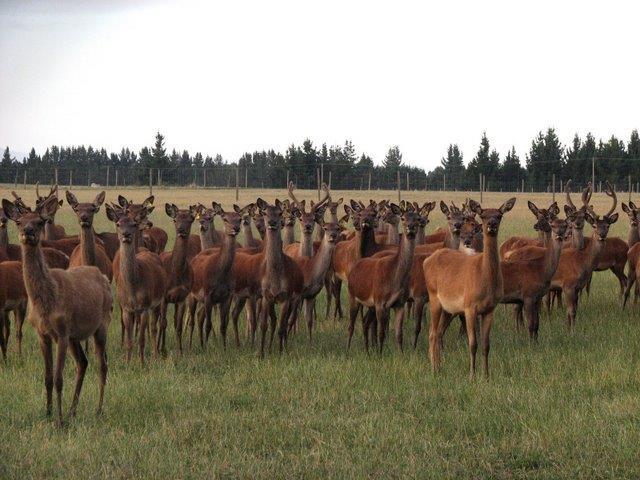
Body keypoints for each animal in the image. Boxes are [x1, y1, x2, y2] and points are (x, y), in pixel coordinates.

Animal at [1, 197, 112, 426]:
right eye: (19, 221)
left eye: (40, 221)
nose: (28, 231)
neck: (46, 302)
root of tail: (103, 277)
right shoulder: (43, 334)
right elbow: (48, 378)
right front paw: (49, 413)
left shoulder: (61, 332)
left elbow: (59, 379)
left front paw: (59, 421)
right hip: (75, 336)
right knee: (83, 363)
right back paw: (73, 411)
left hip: (102, 324)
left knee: (102, 364)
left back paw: (98, 410)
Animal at [105, 200, 166, 364]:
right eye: (118, 223)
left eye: (133, 224)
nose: (126, 234)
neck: (133, 287)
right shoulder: (126, 308)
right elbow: (129, 339)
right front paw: (127, 362)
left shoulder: (144, 306)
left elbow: (141, 338)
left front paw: (142, 362)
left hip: (157, 301)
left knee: (153, 328)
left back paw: (155, 355)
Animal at [348, 204, 422, 354]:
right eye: (403, 217)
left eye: (417, 218)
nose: (410, 227)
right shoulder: (380, 301)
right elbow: (381, 332)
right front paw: (379, 354)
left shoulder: (399, 303)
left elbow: (399, 334)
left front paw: (401, 354)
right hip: (353, 296)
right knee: (351, 326)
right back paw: (348, 351)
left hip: (370, 305)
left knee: (365, 322)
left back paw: (367, 351)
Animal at [424, 197, 516, 376]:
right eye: (484, 215)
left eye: (499, 215)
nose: (492, 225)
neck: (484, 279)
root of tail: (427, 261)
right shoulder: (469, 307)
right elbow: (472, 344)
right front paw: (472, 375)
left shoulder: (489, 309)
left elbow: (486, 345)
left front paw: (486, 375)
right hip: (434, 298)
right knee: (431, 333)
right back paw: (433, 369)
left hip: (448, 308)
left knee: (438, 333)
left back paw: (439, 366)